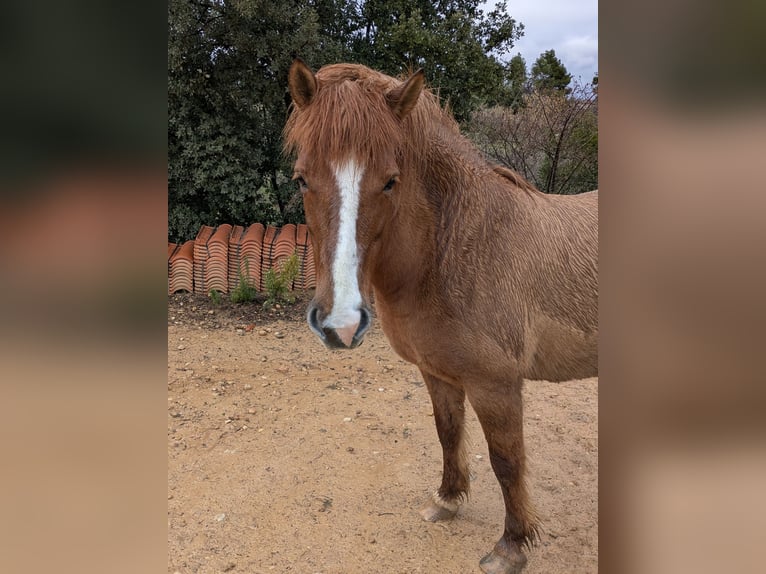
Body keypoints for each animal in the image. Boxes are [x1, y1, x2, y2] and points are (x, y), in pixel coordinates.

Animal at [284, 59, 598, 574]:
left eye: (390, 180)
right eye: (301, 179)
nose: (342, 323)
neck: (455, 250)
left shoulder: (496, 385)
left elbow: (507, 461)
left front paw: (511, 546)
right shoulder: (438, 372)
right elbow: (448, 432)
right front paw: (447, 501)